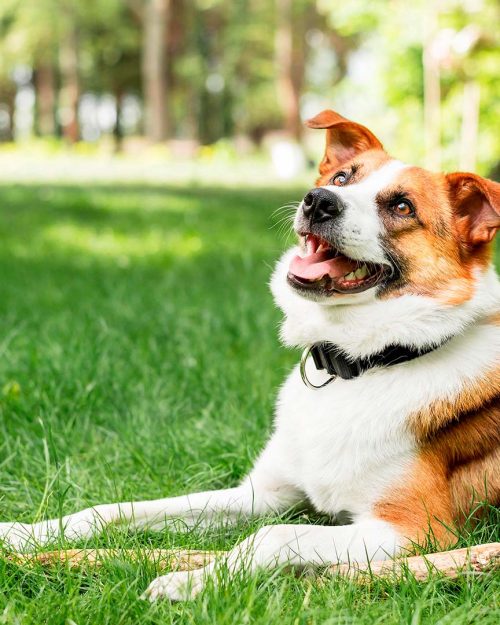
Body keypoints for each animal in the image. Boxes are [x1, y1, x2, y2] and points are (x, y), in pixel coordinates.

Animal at [0, 108, 500, 600]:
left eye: (401, 207)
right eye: (341, 178)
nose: (318, 201)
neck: (363, 364)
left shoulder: (415, 528)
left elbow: (272, 536)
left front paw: (193, 580)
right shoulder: (267, 493)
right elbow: (114, 509)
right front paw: (24, 534)